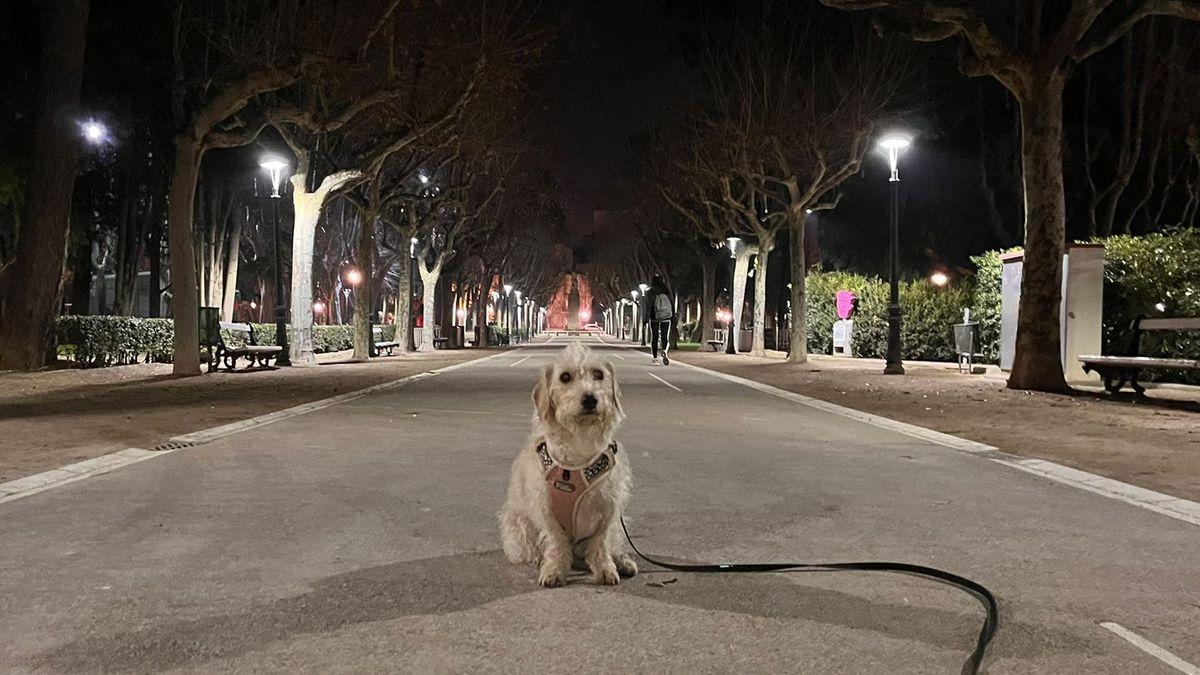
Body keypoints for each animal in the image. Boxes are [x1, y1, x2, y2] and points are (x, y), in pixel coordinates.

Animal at [501, 341, 643, 583]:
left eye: (598, 374)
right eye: (565, 377)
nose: (590, 398)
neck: (580, 442)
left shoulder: (608, 506)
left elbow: (600, 543)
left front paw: (605, 568)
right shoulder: (545, 508)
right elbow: (557, 541)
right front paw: (554, 568)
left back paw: (622, 561)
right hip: (518, 524)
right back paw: (540, 560)